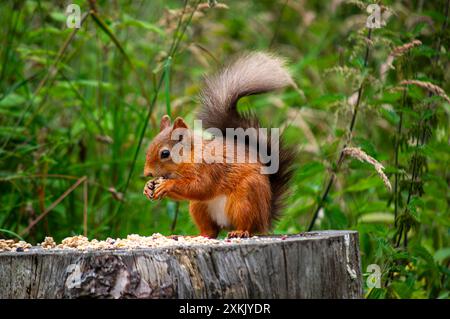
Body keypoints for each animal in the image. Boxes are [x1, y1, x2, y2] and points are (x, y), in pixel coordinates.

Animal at [143, 52, 296, 238]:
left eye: (165, 153)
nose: (147, 173)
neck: (190, 156)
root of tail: (265, 219)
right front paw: (148, 187)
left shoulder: (209, 167)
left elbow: (200, 187)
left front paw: (167, 185)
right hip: (199, 207)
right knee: (211, 231)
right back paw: (195, 235)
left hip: (245, 199)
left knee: (247, 224)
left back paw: (240, 231)